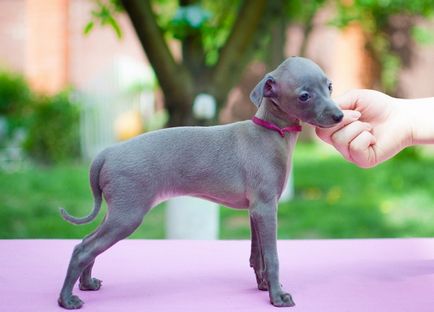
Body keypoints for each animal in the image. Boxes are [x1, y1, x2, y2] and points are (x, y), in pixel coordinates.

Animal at [57, 56, 342, 310]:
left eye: (329, 86)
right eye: (304, 96)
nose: (339, 115)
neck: (270, 132)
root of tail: (106, 153)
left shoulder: (256, 210)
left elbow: (257, 255)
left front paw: (263, 286)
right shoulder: (265, 208)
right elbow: (271, 256)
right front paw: (277, 296)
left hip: (116, 212)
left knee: (87, 243)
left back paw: (87, 284)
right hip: (127, 214)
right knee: (84, 249)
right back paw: (66, 300)